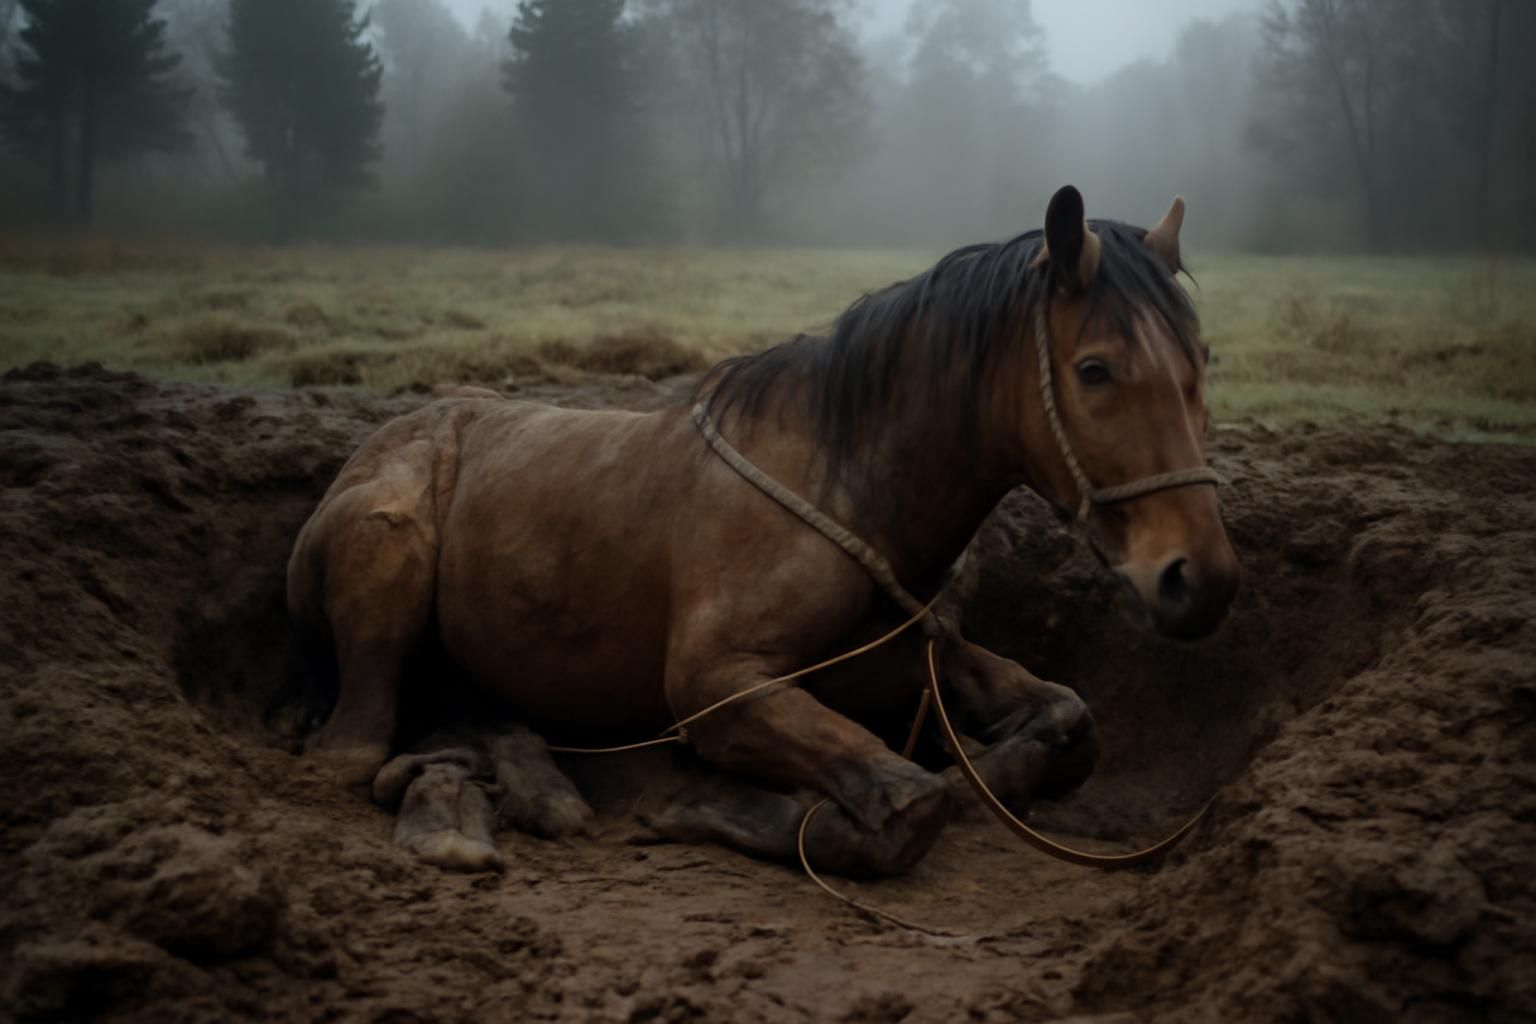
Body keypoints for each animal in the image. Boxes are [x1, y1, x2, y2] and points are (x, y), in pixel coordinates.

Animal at [286, 185, 1240, 877]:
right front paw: (714, 804)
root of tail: (383, 436)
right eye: (1095, 370)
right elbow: (910, 803)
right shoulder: (717, 683)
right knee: (353, 749)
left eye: (1201, 362)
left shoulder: (891, 658)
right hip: (389, 545)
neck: (845, 485)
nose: (1201, 579)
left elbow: (1066, 720)